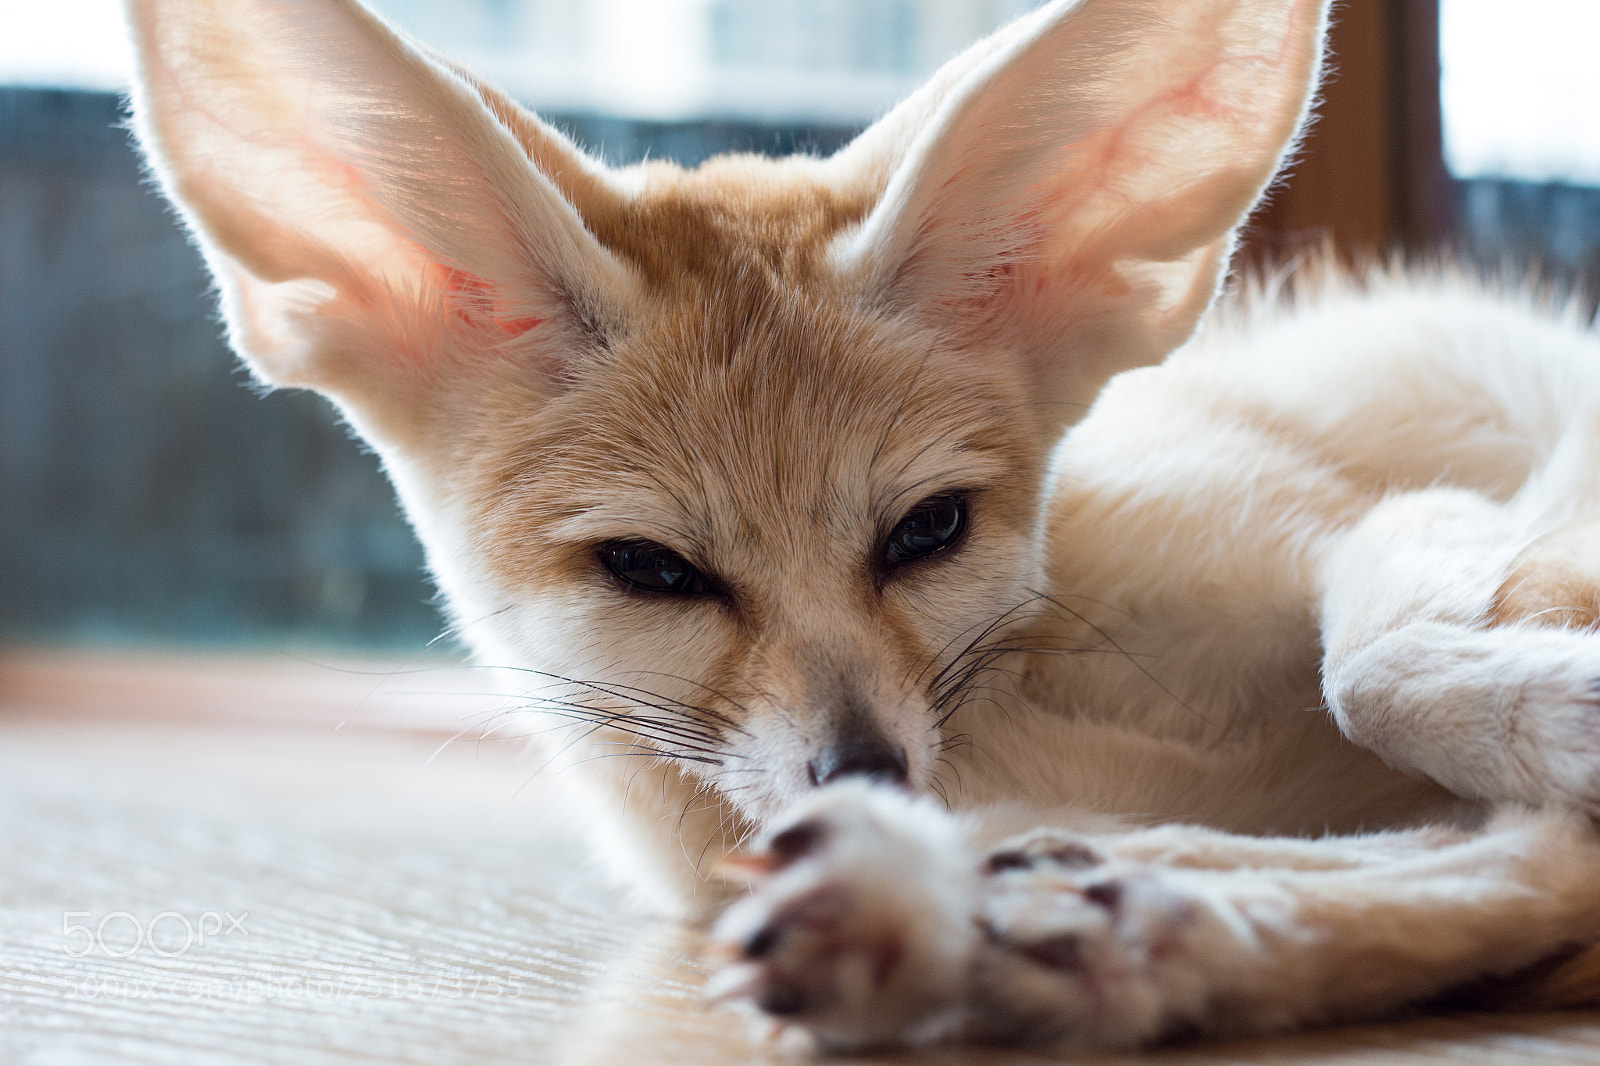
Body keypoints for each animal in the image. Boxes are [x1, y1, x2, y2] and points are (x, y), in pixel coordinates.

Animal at [125, 0, 1600, 1052]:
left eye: (927, 529)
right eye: (650, 569)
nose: (867, 770)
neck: (1031, 722)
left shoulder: (1393, 516)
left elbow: (1373, 666)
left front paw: (1551, 706)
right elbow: (1519, 845)